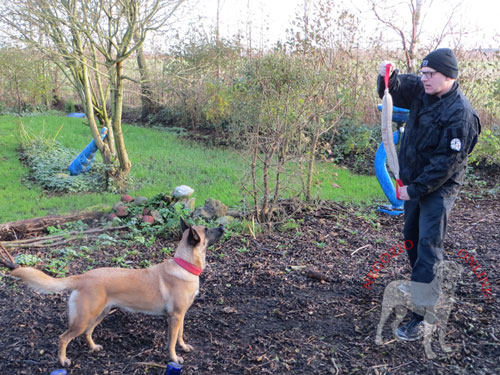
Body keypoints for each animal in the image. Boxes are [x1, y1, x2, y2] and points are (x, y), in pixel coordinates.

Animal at [0, 219, 223, 368]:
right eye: (207, 229)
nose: (222, 227)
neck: (185, 265)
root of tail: (82, 277)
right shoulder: (175, 317)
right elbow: (171, 342)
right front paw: (174, 358)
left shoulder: (181, 316)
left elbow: (180, 336)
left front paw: (183, 347)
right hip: (84, 318)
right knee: (63, 338)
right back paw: (63, 360)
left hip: (100, 314)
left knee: (87, 333)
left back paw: (93, 348)